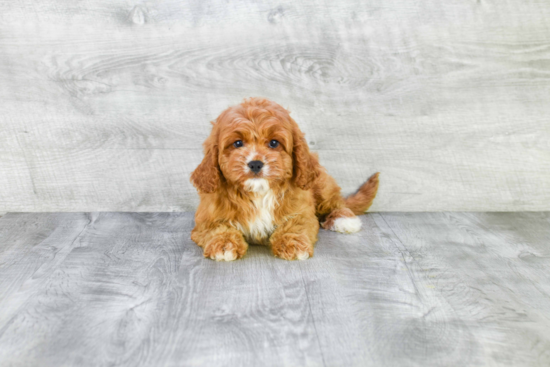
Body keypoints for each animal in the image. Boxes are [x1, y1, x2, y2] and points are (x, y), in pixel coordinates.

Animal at [190, 98, 380, 262]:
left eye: (274, 143)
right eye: (237, 143)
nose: (255, 164)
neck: (258, 192)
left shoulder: (301, 209)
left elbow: (296, 223)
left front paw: (293, 243)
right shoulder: (207, 217)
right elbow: (217, 228)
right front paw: (224, 245)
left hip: (321, 185)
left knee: (335, 202)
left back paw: (344, 219)